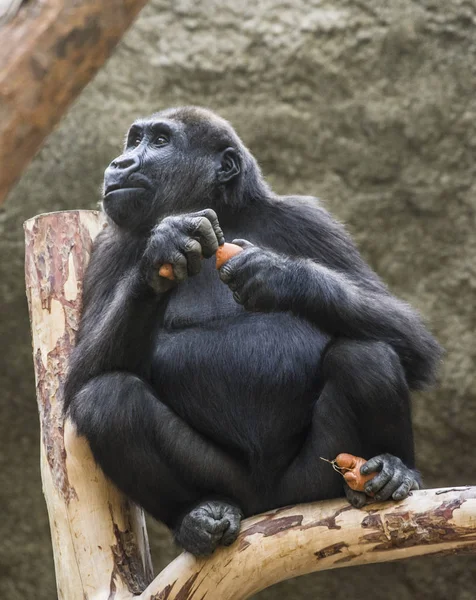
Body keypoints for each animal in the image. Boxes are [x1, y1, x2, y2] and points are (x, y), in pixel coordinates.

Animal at [63, 105, 442, 556]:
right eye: (134, 140)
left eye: (159, 141)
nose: (120, 163)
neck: (225, 210)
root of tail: (269, 507)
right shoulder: (109, 245)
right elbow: (80, 377)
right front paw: (164, 250)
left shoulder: (309, 220)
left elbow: (413, 341)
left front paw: (284, 277)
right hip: (235, 487)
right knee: (108, 399)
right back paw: (194, 515)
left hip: (312, 482)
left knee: (367, 355)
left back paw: (395, 470)